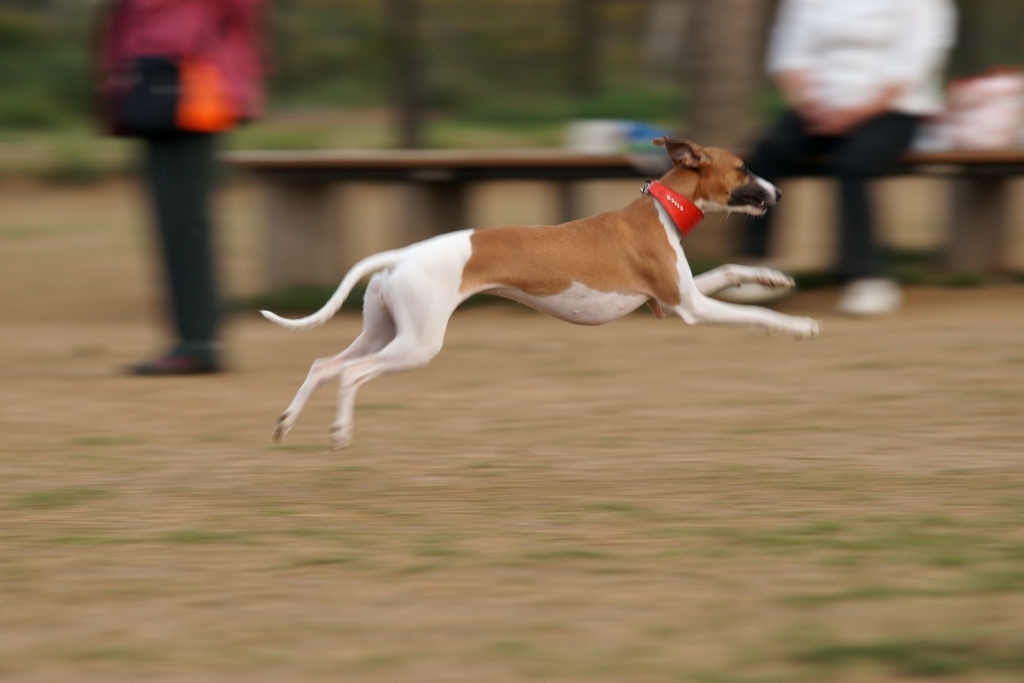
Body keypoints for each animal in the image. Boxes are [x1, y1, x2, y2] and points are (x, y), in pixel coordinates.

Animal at [266, 138, 823, 448]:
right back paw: (339, 433)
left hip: (384, 330)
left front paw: (771, 278)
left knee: (323, 365)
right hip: (417, 344)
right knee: (351, 374)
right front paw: (800, 325)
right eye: (744, 167)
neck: (662, 209)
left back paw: (285, 423)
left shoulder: (666, 300)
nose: (779, 192)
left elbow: (730, 268)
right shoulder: (689, 307)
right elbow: (758, 317)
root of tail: (399, 257)